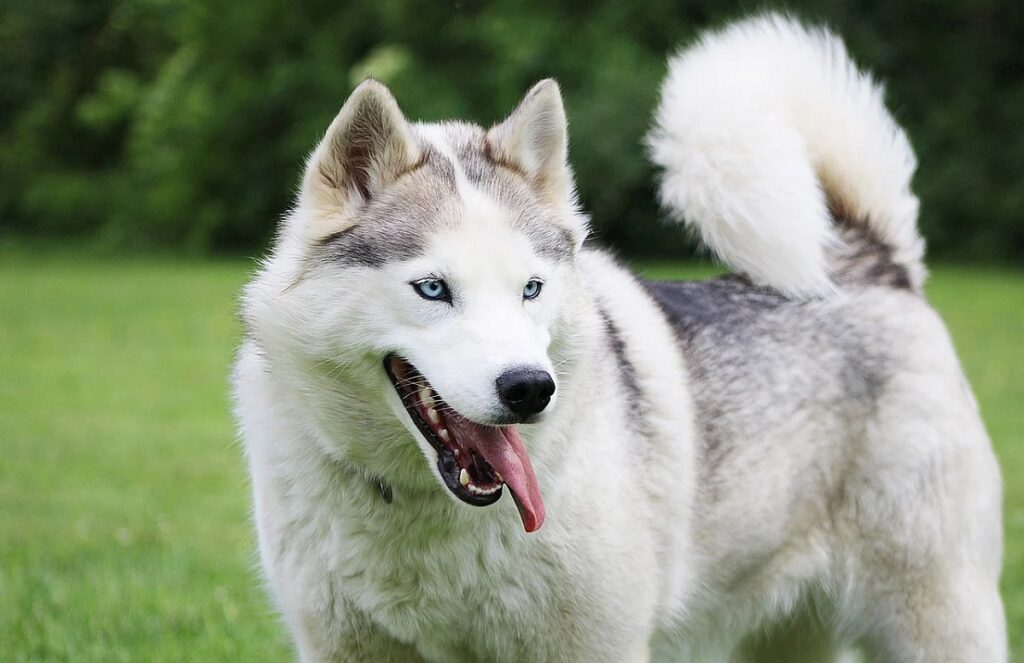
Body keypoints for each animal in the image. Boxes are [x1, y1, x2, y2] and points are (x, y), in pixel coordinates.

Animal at [234, 11, 1007, 663]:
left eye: (532, 288)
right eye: (433, 289)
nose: (530, 388)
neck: (426, 509)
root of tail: (869, 263)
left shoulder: (592, 645)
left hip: (937, 621)